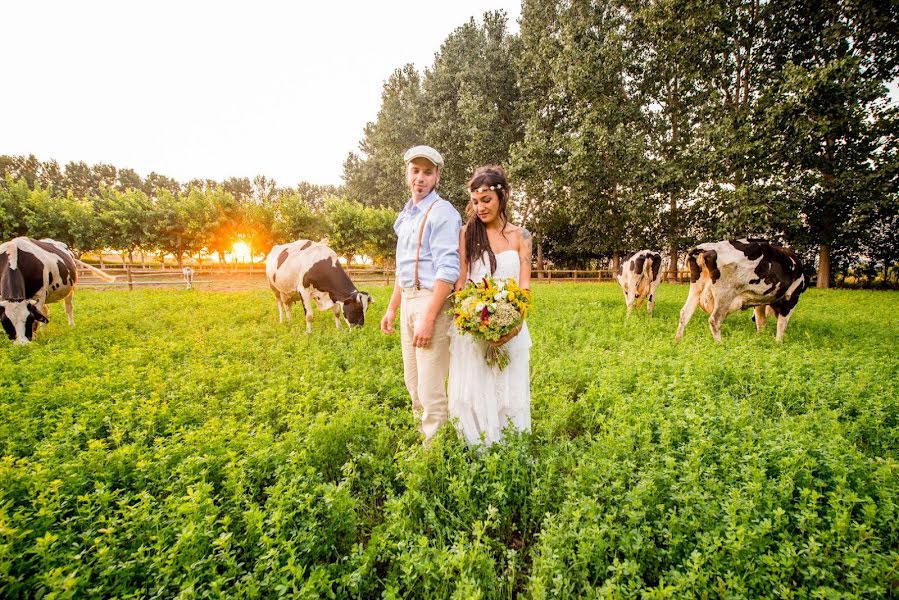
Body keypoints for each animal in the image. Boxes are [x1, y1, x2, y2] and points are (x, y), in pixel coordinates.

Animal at [676, 238, 808, 342]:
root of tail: (707, 247)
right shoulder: (792, 298)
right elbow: (782, 324)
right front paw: (778, 343)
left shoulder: (760, 302)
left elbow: (761, 321)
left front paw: (760, 338)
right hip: (725, 294)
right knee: (715, 320)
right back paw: (720, 345)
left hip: (696, 288)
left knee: (684, 314)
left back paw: (678, 342)